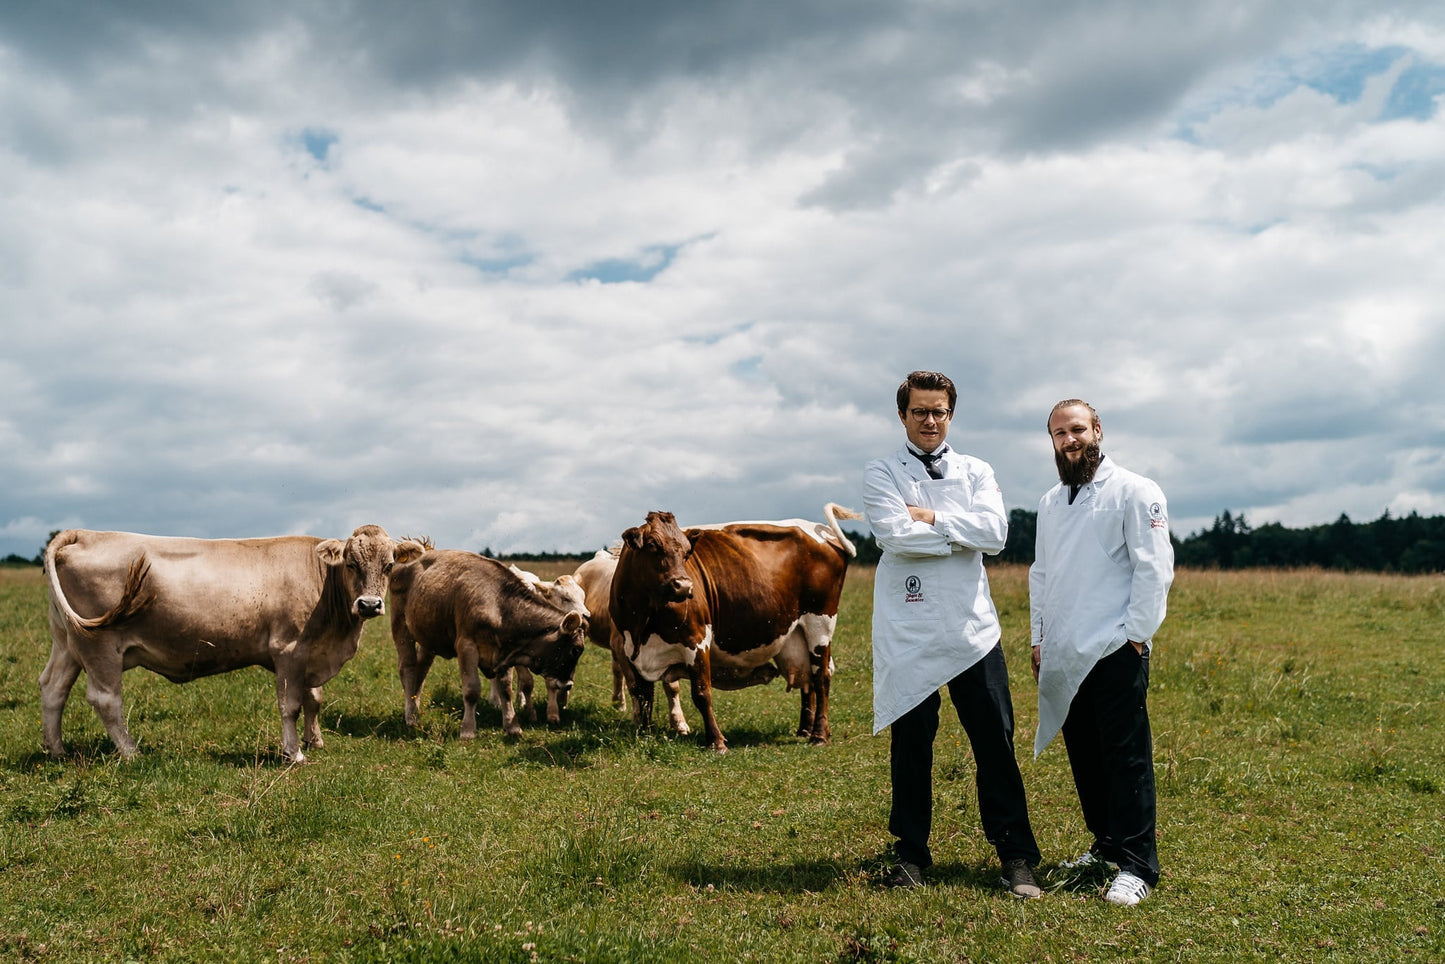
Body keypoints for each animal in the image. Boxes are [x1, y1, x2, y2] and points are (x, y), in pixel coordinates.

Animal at [387, 549, 589, 739]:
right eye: (575, 649)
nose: (568, 685)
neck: (499, 606)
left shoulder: (503, 652)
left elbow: (506, 690)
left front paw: (512, 727)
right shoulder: (466, 646)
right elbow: (472, 689)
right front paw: (468, 730)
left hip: (428, 639)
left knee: (421, 671)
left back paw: (415, 706)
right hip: (401, 628)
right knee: (408, 669)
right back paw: (411, 716)